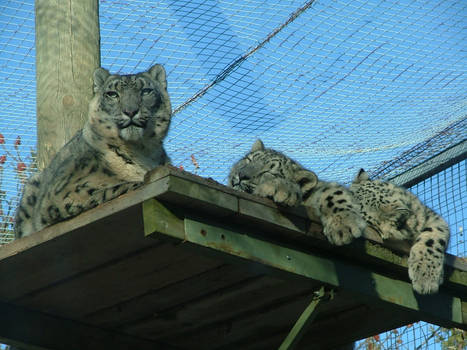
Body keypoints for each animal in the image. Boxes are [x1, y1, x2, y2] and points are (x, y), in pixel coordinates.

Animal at [14, 64, 173, 238]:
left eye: (146, 91)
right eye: (112, 94)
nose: (130, 111)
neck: (142, 151)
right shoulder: (66, 192)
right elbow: (116, 188)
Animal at [229, 139, 368, 246]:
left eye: (269, 172)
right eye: (248, 159)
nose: (241, 175)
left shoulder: (323, 187)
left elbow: (334, 193)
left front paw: (343, 226)